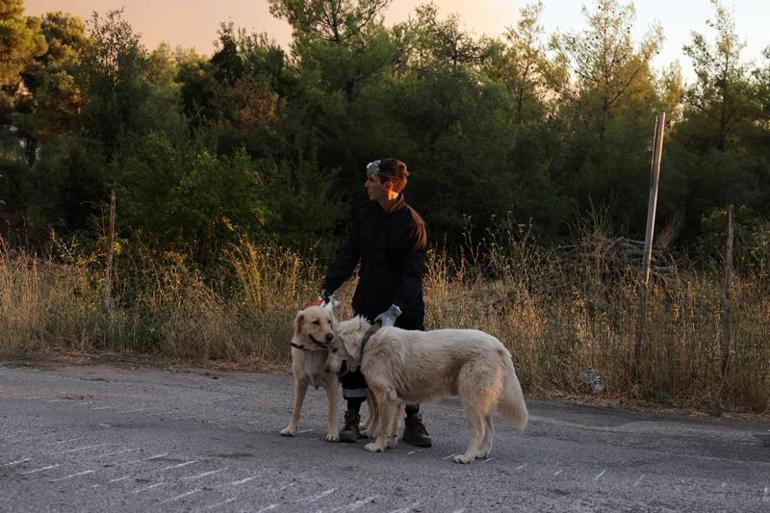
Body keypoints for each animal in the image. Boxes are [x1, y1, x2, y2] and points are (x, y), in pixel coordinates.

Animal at [276, 306, 336, 442]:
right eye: (316, 322)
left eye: (329, 321)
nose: (331, 336)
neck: (312, 351)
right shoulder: (300, 383)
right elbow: (296, 409)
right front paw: (291, 429)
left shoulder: (332, 386)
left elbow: (331, 412)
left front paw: (333, 433)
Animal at [324, 318, 528, 462]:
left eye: (334, 349)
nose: (326, 370)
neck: (368, 342)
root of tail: (497, 345)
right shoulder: (396, 399)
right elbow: (393, 425)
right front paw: (390, 443)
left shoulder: (385, 397)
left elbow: (382, 426)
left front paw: (377, 446)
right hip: (481, 399)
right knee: (490, 427)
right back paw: (482, 452)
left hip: (470, 398)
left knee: (479, 430)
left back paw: (467, 457)